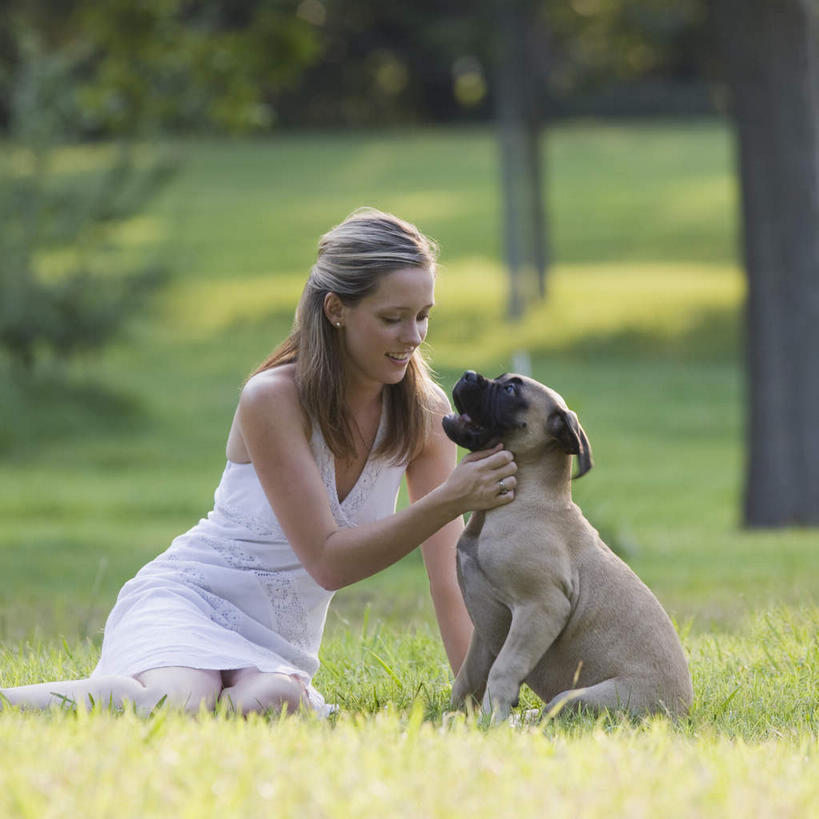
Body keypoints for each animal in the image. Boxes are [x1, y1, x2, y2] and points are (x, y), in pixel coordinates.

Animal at [446, 372, 696, 724]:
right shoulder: (485, 627)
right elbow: (468, 678)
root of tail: (678, 715)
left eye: (510, 389)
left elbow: (503, 670)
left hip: (575, 696)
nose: (468, 375)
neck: (526, 494)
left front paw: (491, 722)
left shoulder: (541, 606)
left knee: (554, 715)